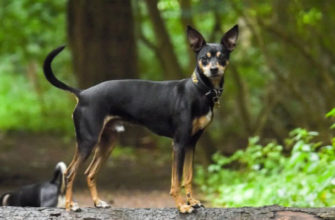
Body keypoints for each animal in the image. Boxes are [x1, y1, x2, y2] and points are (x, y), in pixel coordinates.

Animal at [43, 24, 238, 213]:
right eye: (204, 58)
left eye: (221, 57)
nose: (214, 69)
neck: (198, 91)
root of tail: (83, 94)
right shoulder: (179, 143)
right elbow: (176, 181)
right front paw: (182, 206)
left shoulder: (191, 143)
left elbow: (188, 177)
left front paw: (193, 201)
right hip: (88, 141)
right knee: (69, 173)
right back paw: (70, 205)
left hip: (108, 142)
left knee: (89, 173)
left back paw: (98, 203)